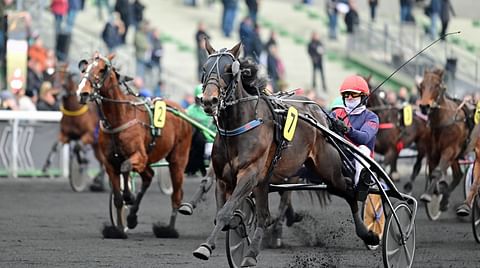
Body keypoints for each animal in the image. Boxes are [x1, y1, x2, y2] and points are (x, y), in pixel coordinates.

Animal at [78, 53, 192, 238]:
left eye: (102, 69)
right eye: (84, 67)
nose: (83, 93)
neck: (119, 118)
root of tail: (181, 109)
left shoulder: (139, 155)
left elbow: (125, 167)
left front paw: (129, 196)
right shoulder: (109, 163)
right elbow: (117, 198)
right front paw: (118, 229)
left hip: (178, 159)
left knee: (176, 195)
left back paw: (168, 229)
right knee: (149, 176)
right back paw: (132, 217)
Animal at [191, 42, 378, 266]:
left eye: (229, 69)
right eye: (204, 68)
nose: (209, 101)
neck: (239, 126)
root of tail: (321, 114)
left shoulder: (249, 174)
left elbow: (226, 212)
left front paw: (205, 247)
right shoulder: (224, 178)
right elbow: (225, 213)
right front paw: (235, 230)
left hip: (327, 169)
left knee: (349, 192)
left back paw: (369, 234)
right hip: (275, 178)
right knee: (265, 214)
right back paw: (253, 251)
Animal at [418, 69, 470, 211]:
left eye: (437, 85)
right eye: (422, 84)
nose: (424, 106)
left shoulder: (449, 150)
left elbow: (437, 172)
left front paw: (428, 195)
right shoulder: (433, 152)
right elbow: (432, 171)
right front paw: (437, 191)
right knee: (458, 175)